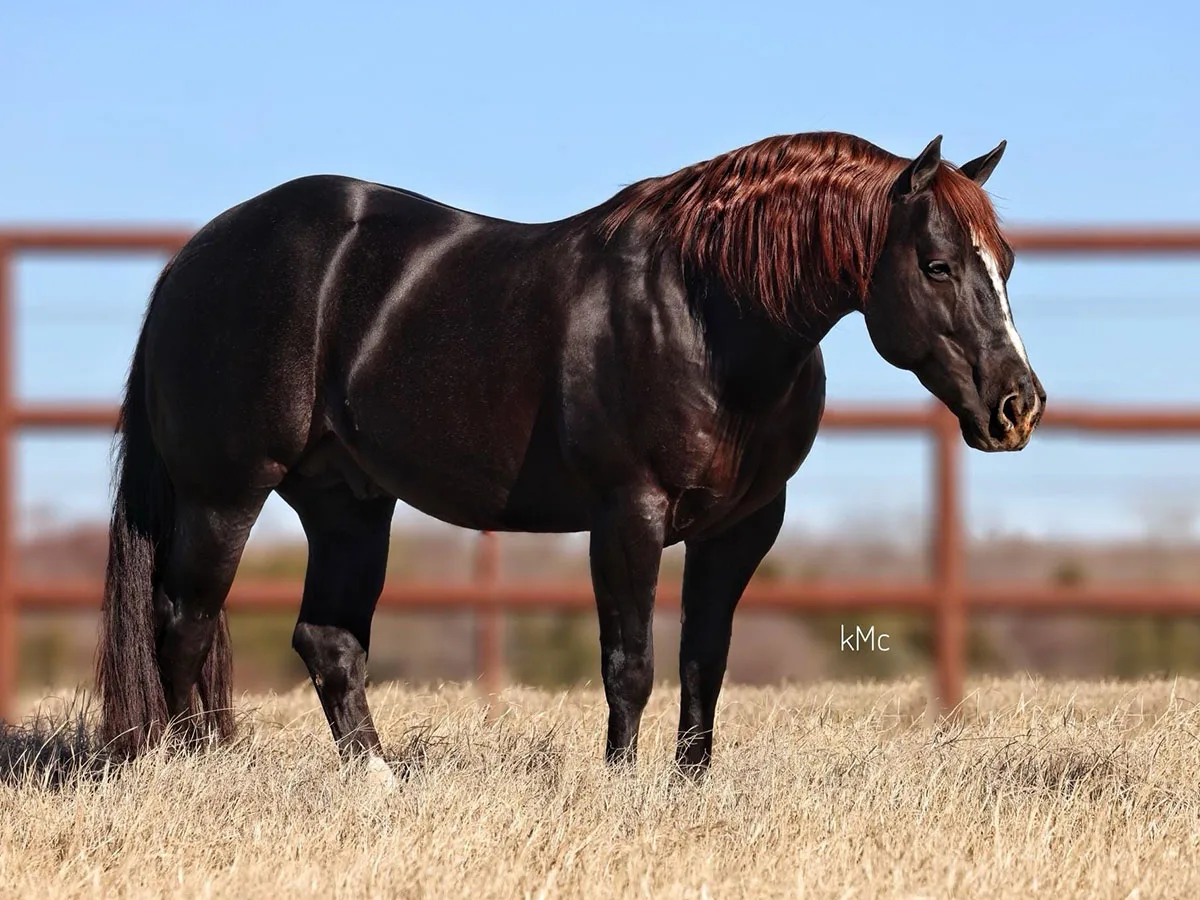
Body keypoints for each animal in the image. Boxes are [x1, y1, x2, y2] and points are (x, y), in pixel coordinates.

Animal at [96, 130, 1045, 773]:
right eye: (937, 265)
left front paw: (689, 788)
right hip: (224, 494)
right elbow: (631, 666)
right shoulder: (627, 514)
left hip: (348, 503)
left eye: (1005, 262)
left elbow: (705, 662)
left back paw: (379, 785)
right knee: (183, 624)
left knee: (326, 641)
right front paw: (623, 788)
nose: (1017, 406)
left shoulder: (742, 527)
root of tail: (193, 258)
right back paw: (189, 771)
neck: (705, 315)